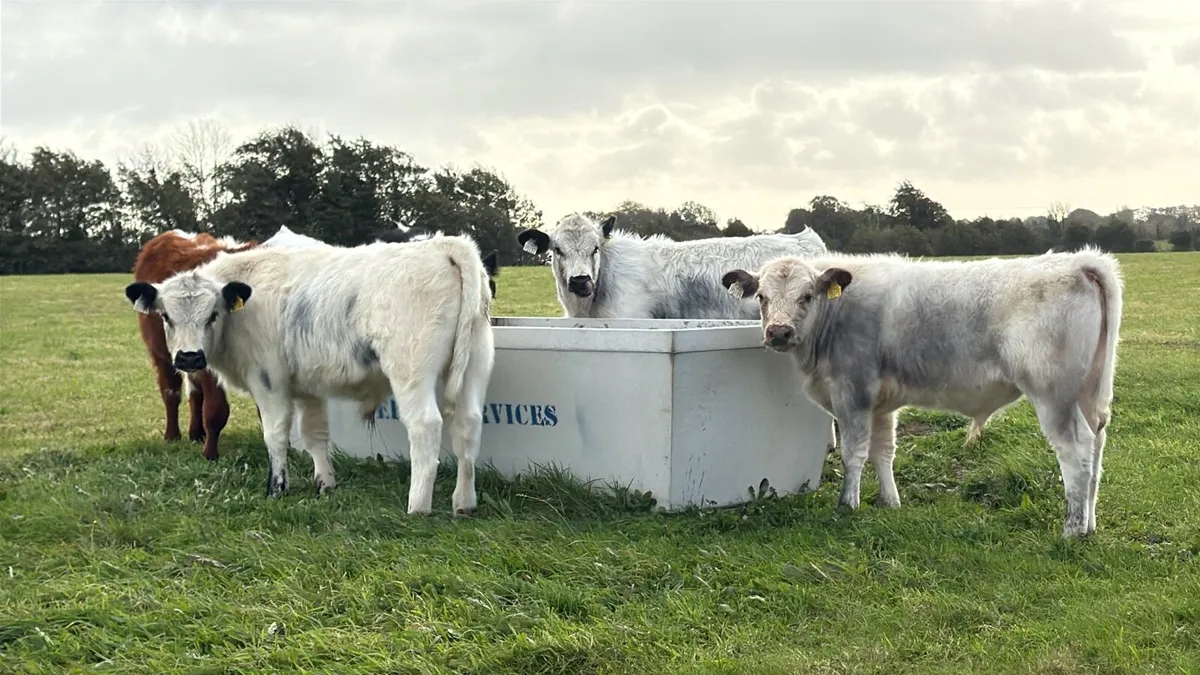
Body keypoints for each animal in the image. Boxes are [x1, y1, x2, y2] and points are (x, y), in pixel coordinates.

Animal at [131, 229, 260, 461]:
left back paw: (196, 433)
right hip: (164, 355)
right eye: (166, 316)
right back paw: (172, 435)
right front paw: (210, 454)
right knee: (171, 393)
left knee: (195, 394)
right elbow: (216, 410)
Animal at [720, 247, 1123, 539]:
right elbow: (883, 452)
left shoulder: (853, 393)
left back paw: (1072, 530)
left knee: (1076, 452)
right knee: (1097, 453)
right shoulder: (881, 404)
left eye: (806, 296)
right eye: (761, 296)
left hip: (1055, 396)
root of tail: (1078, 262)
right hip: (1090, 396)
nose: (779, 332)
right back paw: (1089, 523)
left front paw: (847, 504)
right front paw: (890, 502)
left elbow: (854, 454)